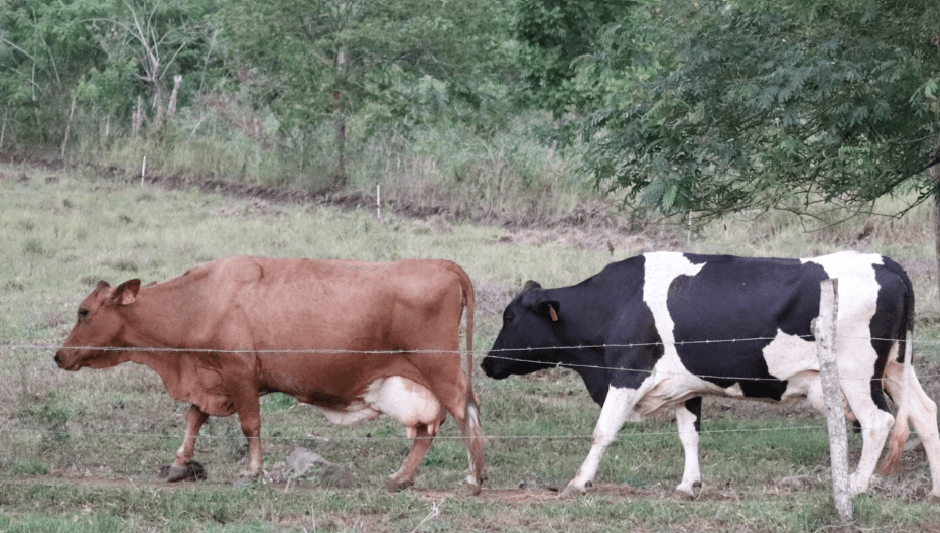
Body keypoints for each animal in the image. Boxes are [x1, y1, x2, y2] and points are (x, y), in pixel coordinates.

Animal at [55, 256, 486, 494]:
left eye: (84, 311)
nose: (59, 355)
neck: (200, 300)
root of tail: (441, 264)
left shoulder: (239, 371)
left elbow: (250, 425)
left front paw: (252, 470)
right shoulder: (211, 376)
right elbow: (194, 417)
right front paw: (179, 464)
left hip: (439, 367)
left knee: (465, 411)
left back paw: (474, 477)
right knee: (429, 428)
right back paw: (401, 477)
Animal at [482, 250, 940, 499]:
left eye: (510, 316)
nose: (485, 363)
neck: (614, 304)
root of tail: (883, 261)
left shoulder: (626, 373)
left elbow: (603, 431)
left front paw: (577, 483)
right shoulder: (685, 386)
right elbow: (690, 434)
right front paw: (688, 485)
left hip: (858, 373)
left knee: (878, 421)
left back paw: (856, 485)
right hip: (896, 366)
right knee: (925, 413)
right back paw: (935, 489)